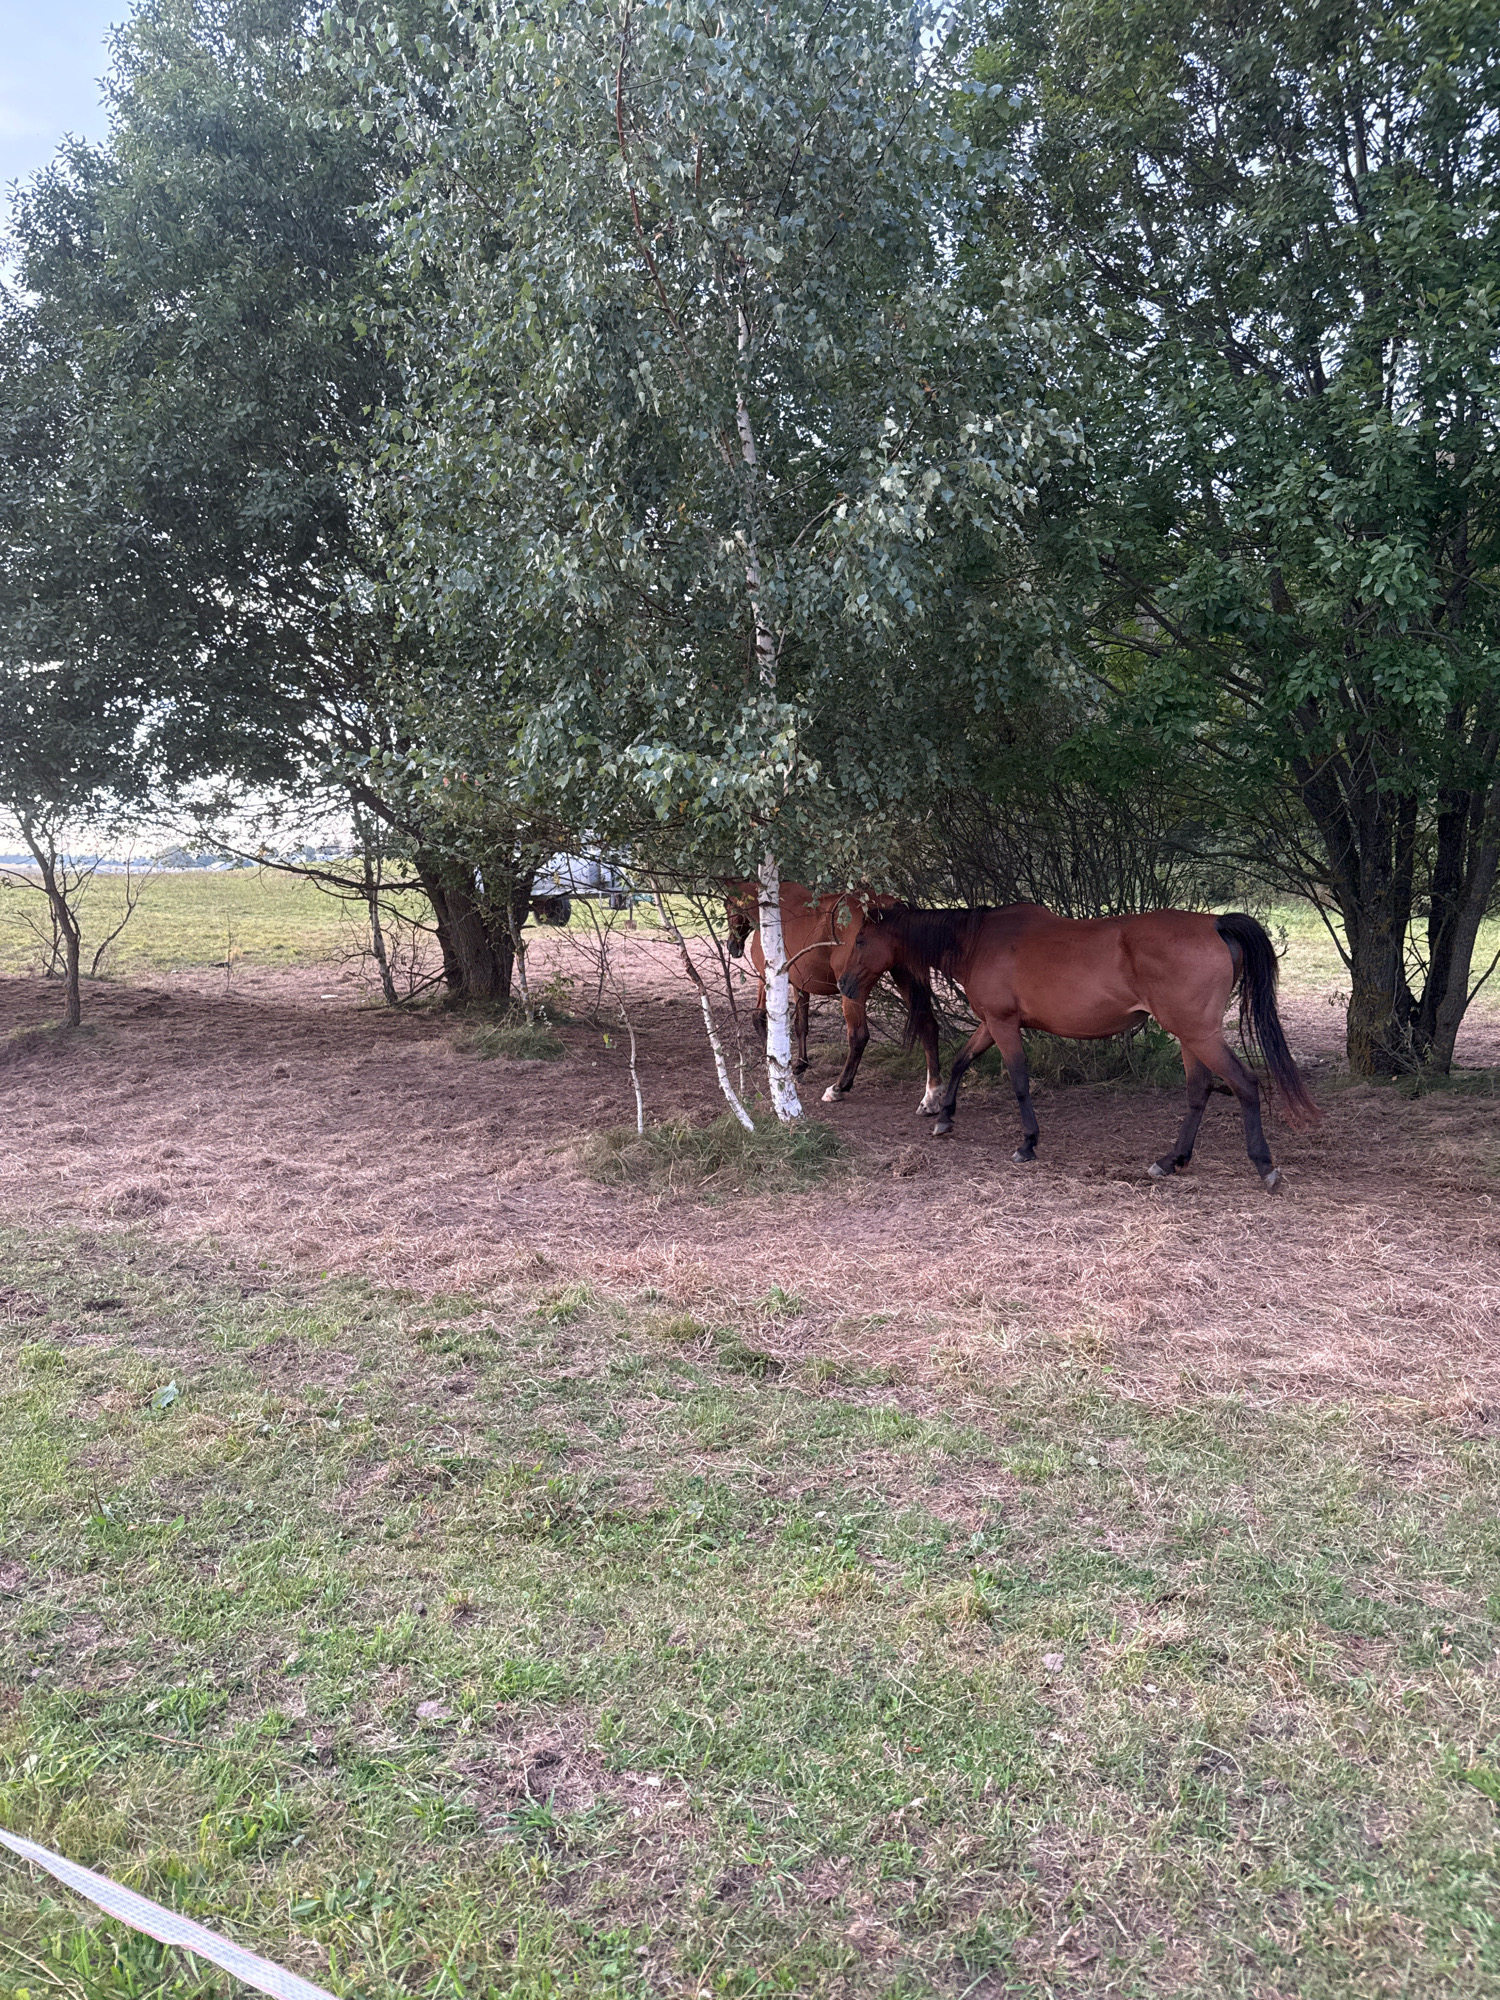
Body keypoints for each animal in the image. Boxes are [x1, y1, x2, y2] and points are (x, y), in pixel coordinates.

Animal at [724, 881, 943, 1109]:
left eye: (727, 906)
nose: (732, 946)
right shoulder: (801, 986)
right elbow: (801, 1025)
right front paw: (800, 1066)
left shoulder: (765, 978)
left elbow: (758, 1017)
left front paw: (775, 1061)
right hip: (906, 979)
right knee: (928, 1026)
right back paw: (932, 1095)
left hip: (854, 991)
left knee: (858, 1036)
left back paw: (839, 1087)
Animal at [833, 902, 1318, 1189]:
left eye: (861, 939)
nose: (844, 985)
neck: (979, 939)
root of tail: (1214, 923)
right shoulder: (991, 1023)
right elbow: (960, 1062)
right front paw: (945, 1117)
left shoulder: (1004, 1025)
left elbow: (1019, 1082)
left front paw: (1028, 1143)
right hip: (1189, 1037)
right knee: (1198, 1092)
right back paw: (1171, 1160)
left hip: (1200, 1034)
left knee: (1245, 1084)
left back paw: (1264, 1165)